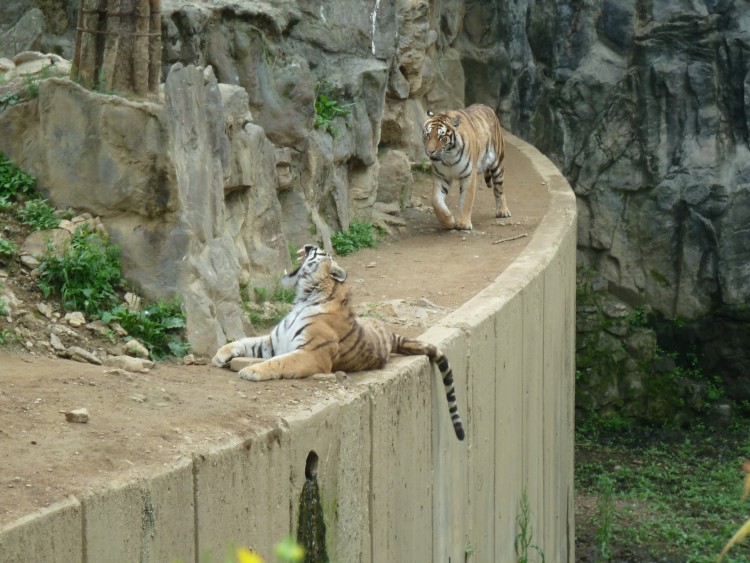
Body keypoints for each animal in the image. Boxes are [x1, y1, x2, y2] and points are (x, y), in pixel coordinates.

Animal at [212, 245, 468, 442]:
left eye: (321, 251)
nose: (309, 245)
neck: (305, 297)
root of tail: (389, 334)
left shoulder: (311, 354)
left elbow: (278, 363)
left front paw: (251, 370)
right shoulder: (273, 341)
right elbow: (244, 341)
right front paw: (219, 355)